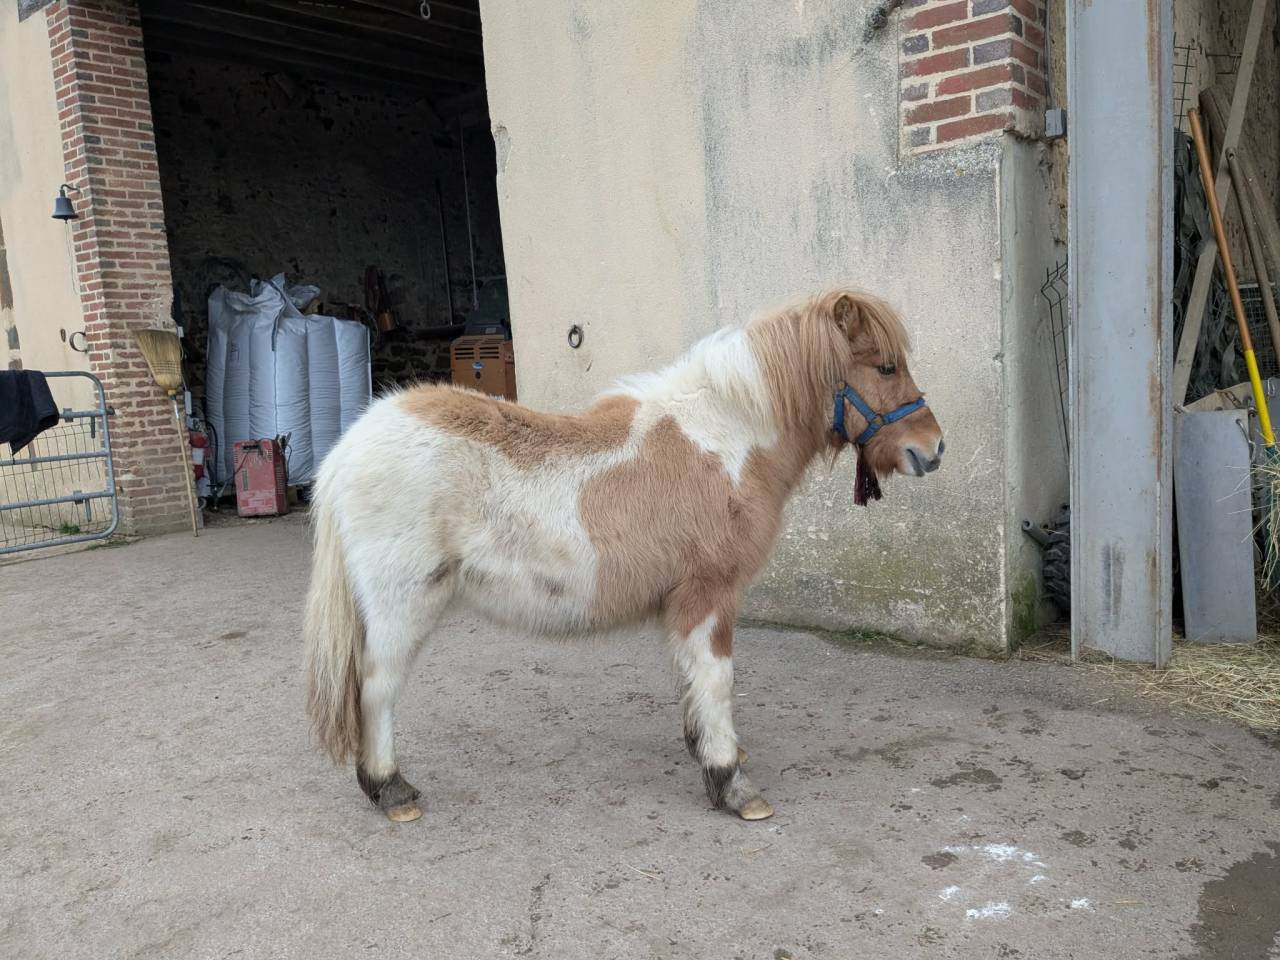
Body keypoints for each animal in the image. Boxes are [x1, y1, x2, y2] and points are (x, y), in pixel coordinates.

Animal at [303, 289, 944, 823]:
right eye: (885, 366)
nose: (933, 449)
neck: (723, 441)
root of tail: (348, 449)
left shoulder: (683, 605)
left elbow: (690, 681)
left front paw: (707, 751)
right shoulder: (709, 596)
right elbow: (717, 681)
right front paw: (731, 783)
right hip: (403, 607)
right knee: (376, 689)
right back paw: (392, 791)